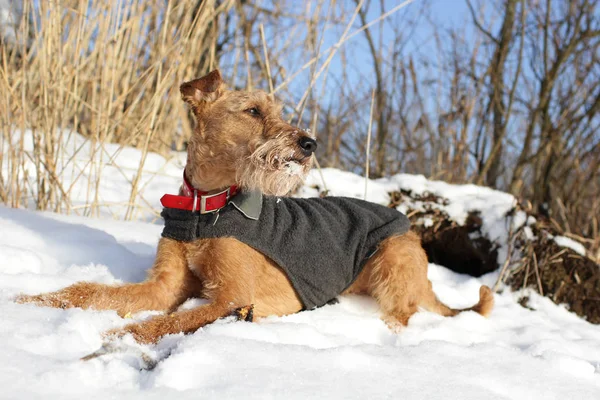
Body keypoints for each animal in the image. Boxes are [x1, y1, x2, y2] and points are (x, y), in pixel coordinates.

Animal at [16, 69, 494, 344]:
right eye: (252, 110)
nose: (309, 144)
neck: (206, 206)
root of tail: (412, 232)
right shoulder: (165, 286)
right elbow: (88, 291)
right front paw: (33, 299)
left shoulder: (232, 298)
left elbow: (166, 322)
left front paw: (118, 337)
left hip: (390, 263)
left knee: (404, 314)